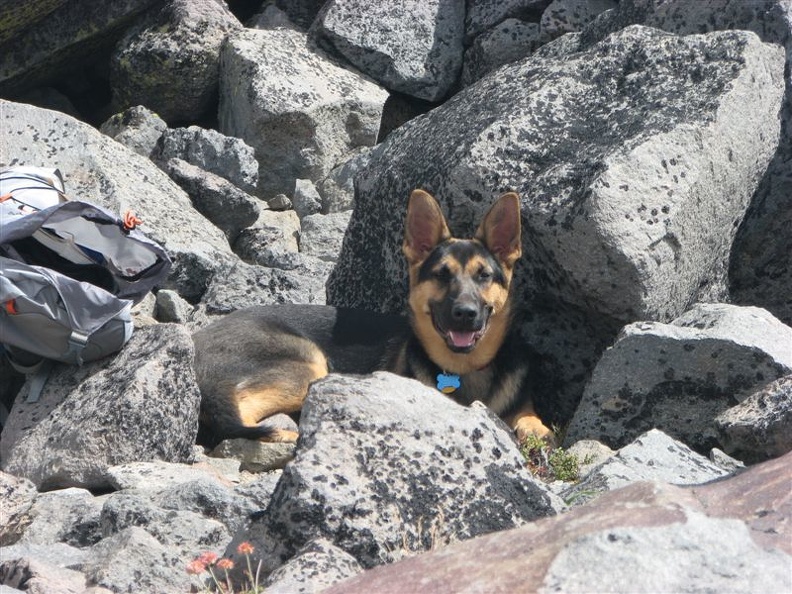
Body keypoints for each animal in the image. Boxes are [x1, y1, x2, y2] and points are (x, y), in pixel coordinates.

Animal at [193, 190, 552, 444]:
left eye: (484, 276)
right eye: (441, 274)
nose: (465, 314)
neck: (464, 369)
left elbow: (531, 420)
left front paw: (535, 429)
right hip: (309, 366)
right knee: (236, 417)